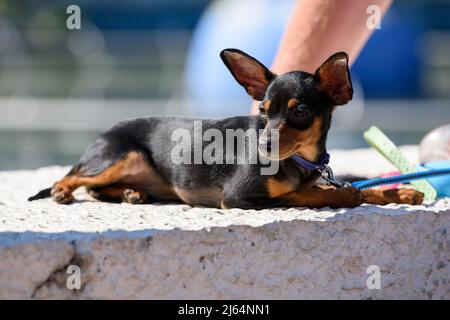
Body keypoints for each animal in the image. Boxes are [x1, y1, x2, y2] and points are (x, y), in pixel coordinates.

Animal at [29, 47, 424, 208]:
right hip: (121, 156)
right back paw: (64, 190)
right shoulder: (240, 198)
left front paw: (399, 192)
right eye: (263, 112)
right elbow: (304, 194)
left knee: (98, 189)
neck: (300, 161)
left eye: (300, 112)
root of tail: (99, 137)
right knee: (76, 178)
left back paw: (134, 193)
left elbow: (350, 186)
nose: (265, 146)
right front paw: (344, 196)